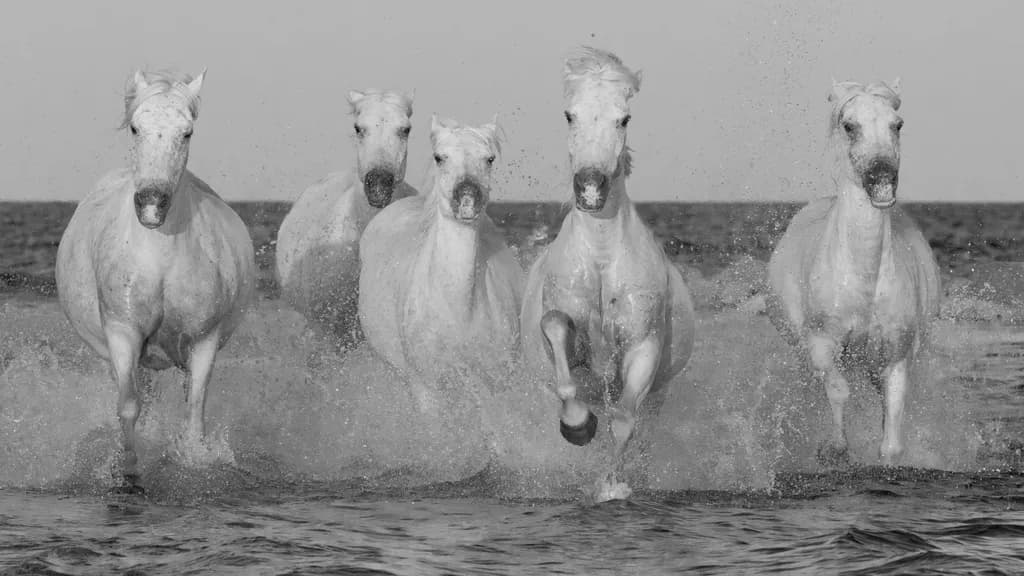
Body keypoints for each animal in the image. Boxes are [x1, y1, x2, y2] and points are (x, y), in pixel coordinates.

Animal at [55, 69, 256, 490]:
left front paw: (193, 464)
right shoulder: (123, 333)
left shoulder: (203, 340)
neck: (160, 257)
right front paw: (129, 470)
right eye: (135, 127)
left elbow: (194, 411)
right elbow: (129, 405)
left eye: (187, 132)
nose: (150, 205)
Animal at [358, 114, 523, 406]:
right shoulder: (426, 388)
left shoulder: (496, 381)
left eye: (490, 158)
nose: (467, 197)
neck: (459, 313)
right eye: (439, 157)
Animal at [520, 47, 696, 499]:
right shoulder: (567, 341)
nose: (590, 187)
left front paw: (612, 487)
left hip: (659, 396)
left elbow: (623, 421)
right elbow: (557, 331)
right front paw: (577, 425)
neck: (600, 261)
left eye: (624, 118)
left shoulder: (643, 347)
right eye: (569, 115)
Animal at [765, 80, 941, 467]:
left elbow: (892, 429)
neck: (864, 281)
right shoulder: (821, 343)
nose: (882, 177)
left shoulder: (896, 354)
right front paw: (835, 449)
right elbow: (838, 389)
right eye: (849, 126)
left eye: (897, 124)